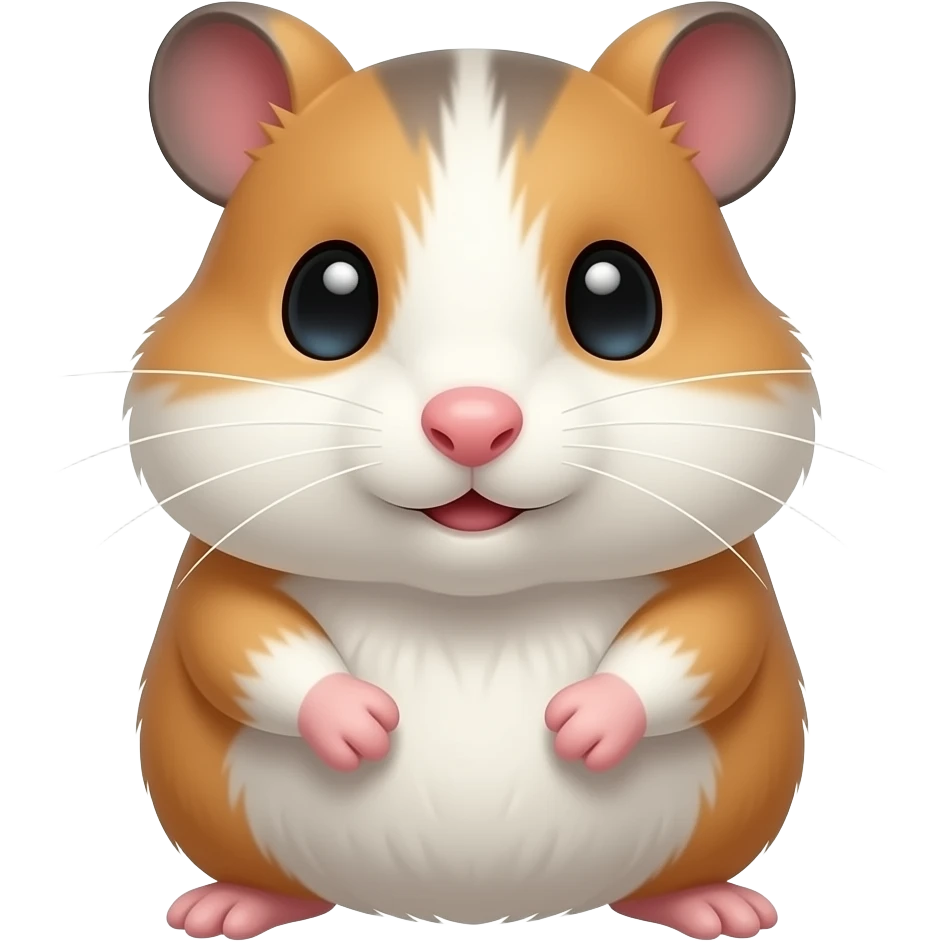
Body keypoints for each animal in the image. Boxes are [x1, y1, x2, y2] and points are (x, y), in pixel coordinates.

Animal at [137, 1, 810, 937]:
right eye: (325, 302)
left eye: (618, 302)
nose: (471, 424)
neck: (472, 604)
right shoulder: (226, 569)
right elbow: (235, 639)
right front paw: (360, 725)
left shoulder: (718, 570)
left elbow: (709, 639)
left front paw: (583, 725)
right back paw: (230, 906)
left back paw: (714, 906)